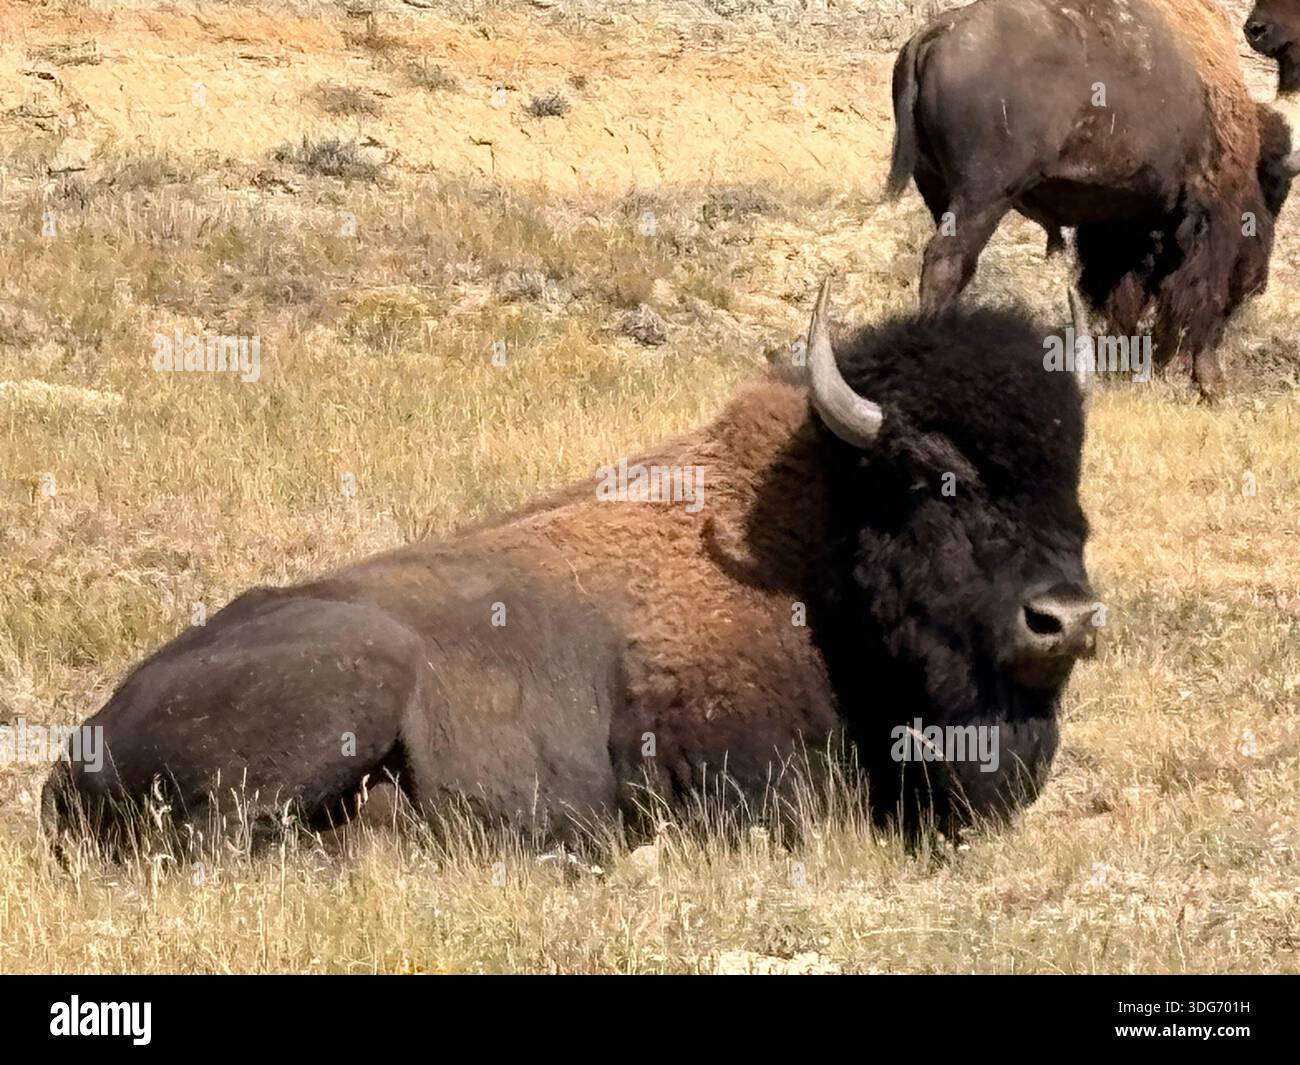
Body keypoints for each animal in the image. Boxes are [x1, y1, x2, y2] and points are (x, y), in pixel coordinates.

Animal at [44, 286, 1099, 849]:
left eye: (1073, 472)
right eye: (929, 477)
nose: (1068, 620)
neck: (815, 562)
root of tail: (79, 744)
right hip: (353, 677)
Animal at [888, 0, 1300, 398]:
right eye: (1273, 189)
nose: (1259, 282)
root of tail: (938, 31)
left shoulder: (1120, 221)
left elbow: (1120, 290)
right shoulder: (1211, 213)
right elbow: (1203, 295)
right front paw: (1211, 384)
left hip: (939, 190)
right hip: (982, 199)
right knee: (947, 263)